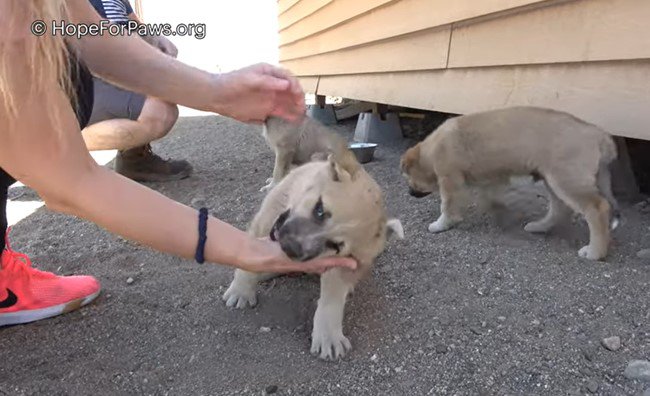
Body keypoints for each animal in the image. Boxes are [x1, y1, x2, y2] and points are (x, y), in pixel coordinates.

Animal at [225, 133, 402, 358]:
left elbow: (332, 299)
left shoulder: (344, 263)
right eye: (320, 209)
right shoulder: (267, 219)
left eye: (335, 245)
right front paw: (241, 291)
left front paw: (328, 336)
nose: (290, 247)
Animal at [400, 106, 616, 260]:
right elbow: (490, 195)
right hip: (553, 178)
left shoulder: (449, 178)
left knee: (597, 208)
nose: (409, 193)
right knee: (560, 209)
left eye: (409, 178)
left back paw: (595, 252)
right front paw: (496, 210)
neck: (431, 150)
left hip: (565, 180)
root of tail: (598, 133)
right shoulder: (491, 176)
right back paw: (540, 226)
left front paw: (442, 224)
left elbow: (447, 206)